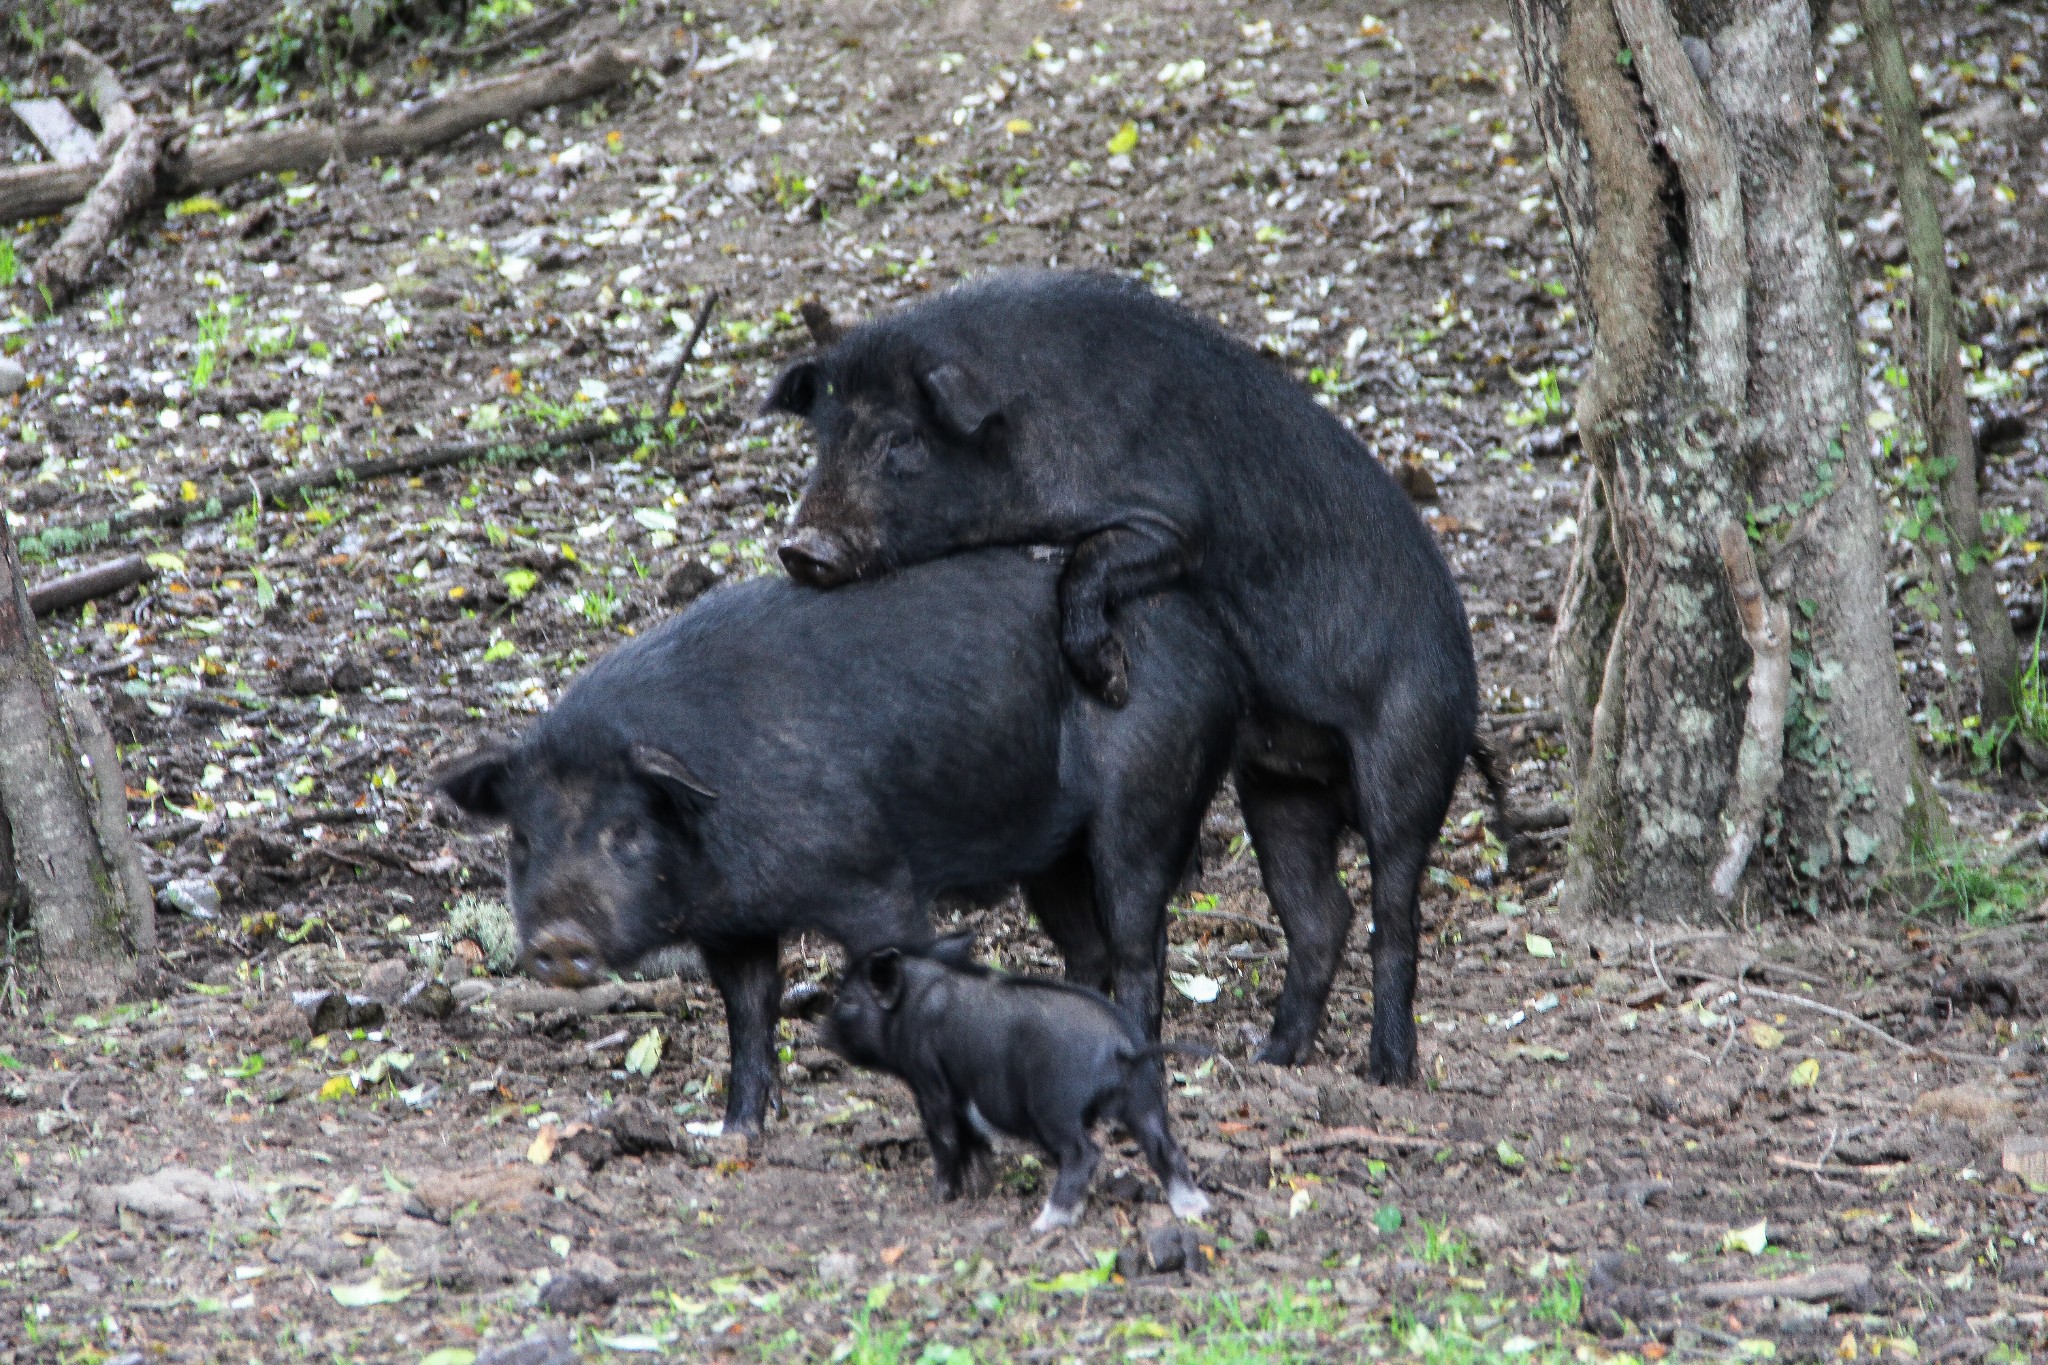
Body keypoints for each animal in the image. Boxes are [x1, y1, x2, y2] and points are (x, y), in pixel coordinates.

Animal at [438, 548, 1236, 1137]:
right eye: (520, 838)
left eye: (626, 832)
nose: (559, 936)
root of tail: (1210, 637)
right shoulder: (733, 928)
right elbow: (749, 1014)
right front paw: (735, 1133)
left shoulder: (875, 882)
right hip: (1049, 853)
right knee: (1088, 948)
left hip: (1145, 796)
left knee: (1138, 943)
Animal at [761, 272, 1482, 1080]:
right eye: (825, 440)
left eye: (901, 439)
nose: (801, 547)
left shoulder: (1169, 519)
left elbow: (1089, 560)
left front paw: (1108, 680)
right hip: (1279, 784)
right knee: (1321, 912)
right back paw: (1272, 1057)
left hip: (1411, 742)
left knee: (1394, 905)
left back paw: (1386, 1068)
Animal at [831, 945, 1204, 1236]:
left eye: (847, 999)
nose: (823, 1034)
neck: (908, 1005)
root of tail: (1122, 1048)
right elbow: (970, 1135)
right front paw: (981, 1185)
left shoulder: (928, 1078)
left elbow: (944, 1136)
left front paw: (938, 1198)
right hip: (1143, 1098)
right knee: (1164, 1147)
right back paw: (1195, 1210)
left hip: (1054, 1106)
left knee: (1084, 1153)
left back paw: (1044, 1224)